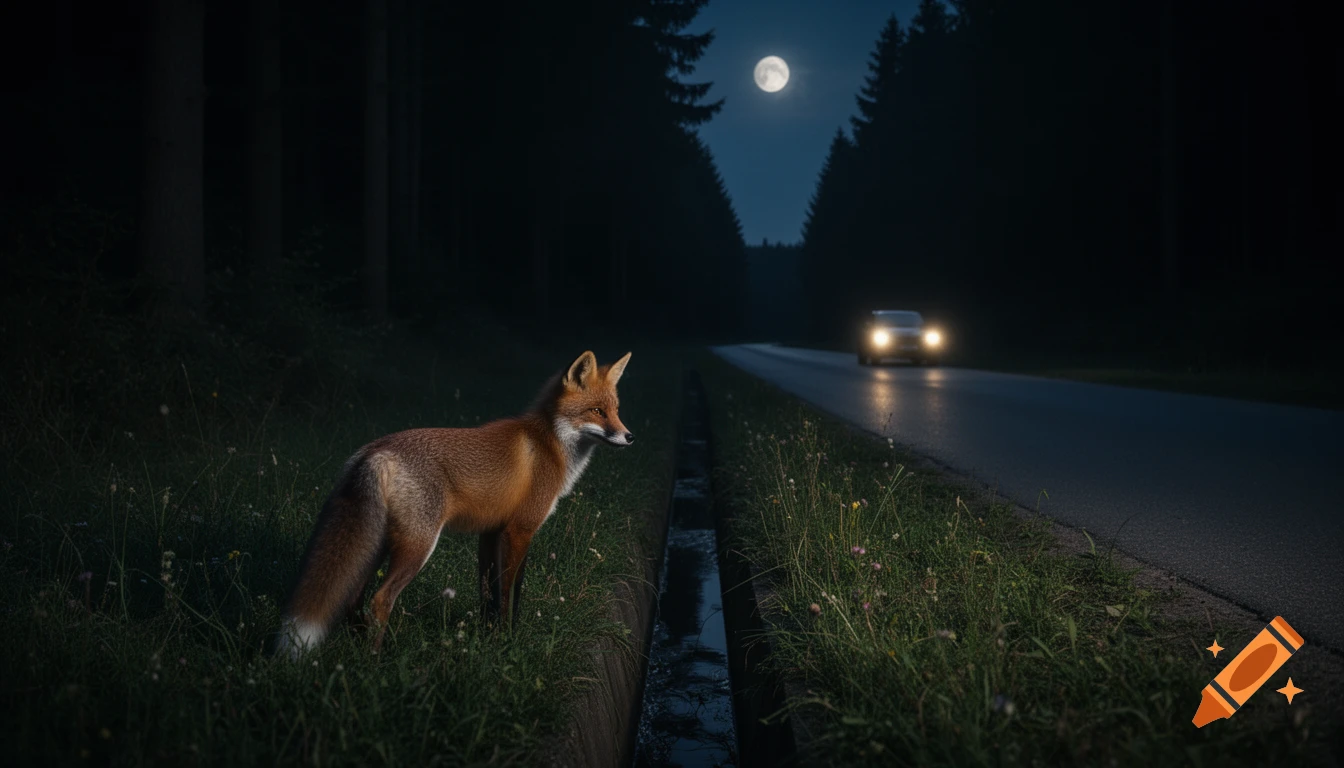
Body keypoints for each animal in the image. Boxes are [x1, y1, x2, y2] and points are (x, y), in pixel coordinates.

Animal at [274, 350, 634, 659]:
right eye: (597, 411)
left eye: (616, 410)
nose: (630, 437)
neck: (550, 445)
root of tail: (374, 451)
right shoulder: (520, 530)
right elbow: (510, 595)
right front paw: (508, 640)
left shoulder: (490, 532)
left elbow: (488, 594)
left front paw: (488, 638)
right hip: (418, 545)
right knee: (380, 599)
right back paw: (374, 660)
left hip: (376, 543)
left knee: (352, 598)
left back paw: (358, 645)